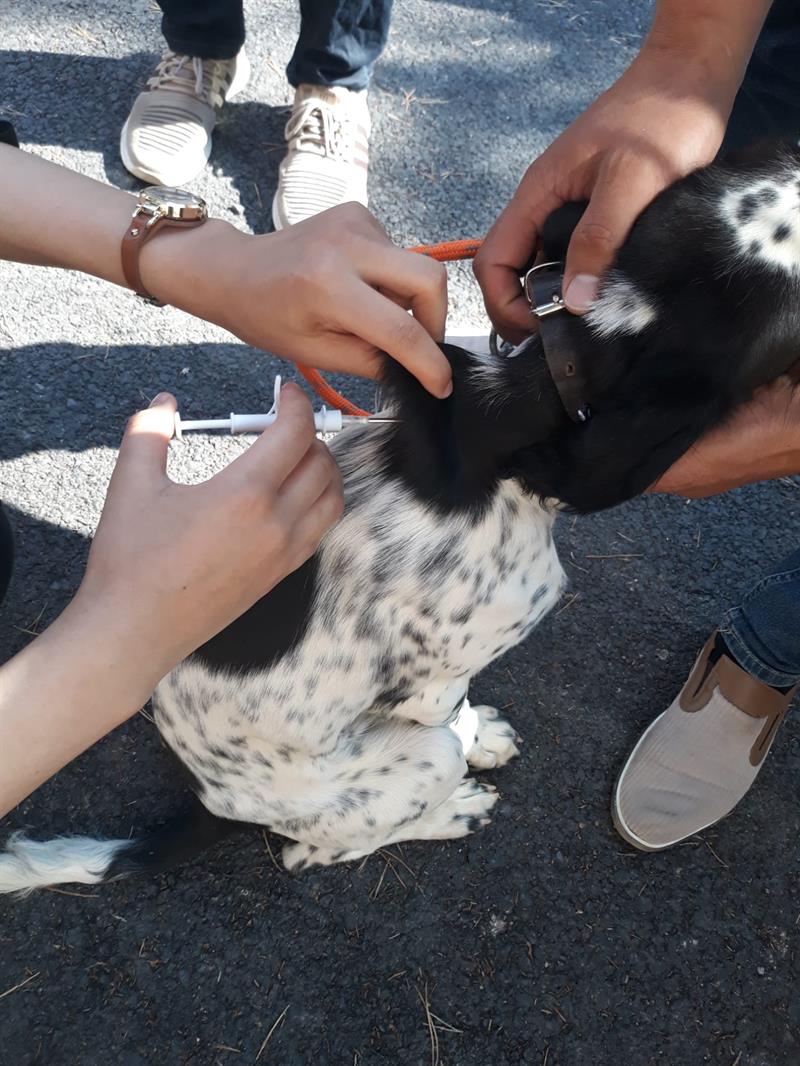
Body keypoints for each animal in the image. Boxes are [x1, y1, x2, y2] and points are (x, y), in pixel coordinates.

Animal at [2, 140, 799, 893]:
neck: (534, 378)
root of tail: (212, 804)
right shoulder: (442, 676)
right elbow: (451, 709)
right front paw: (475, 743)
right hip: (378, 782)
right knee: (311, 851)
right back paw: (451, 809)